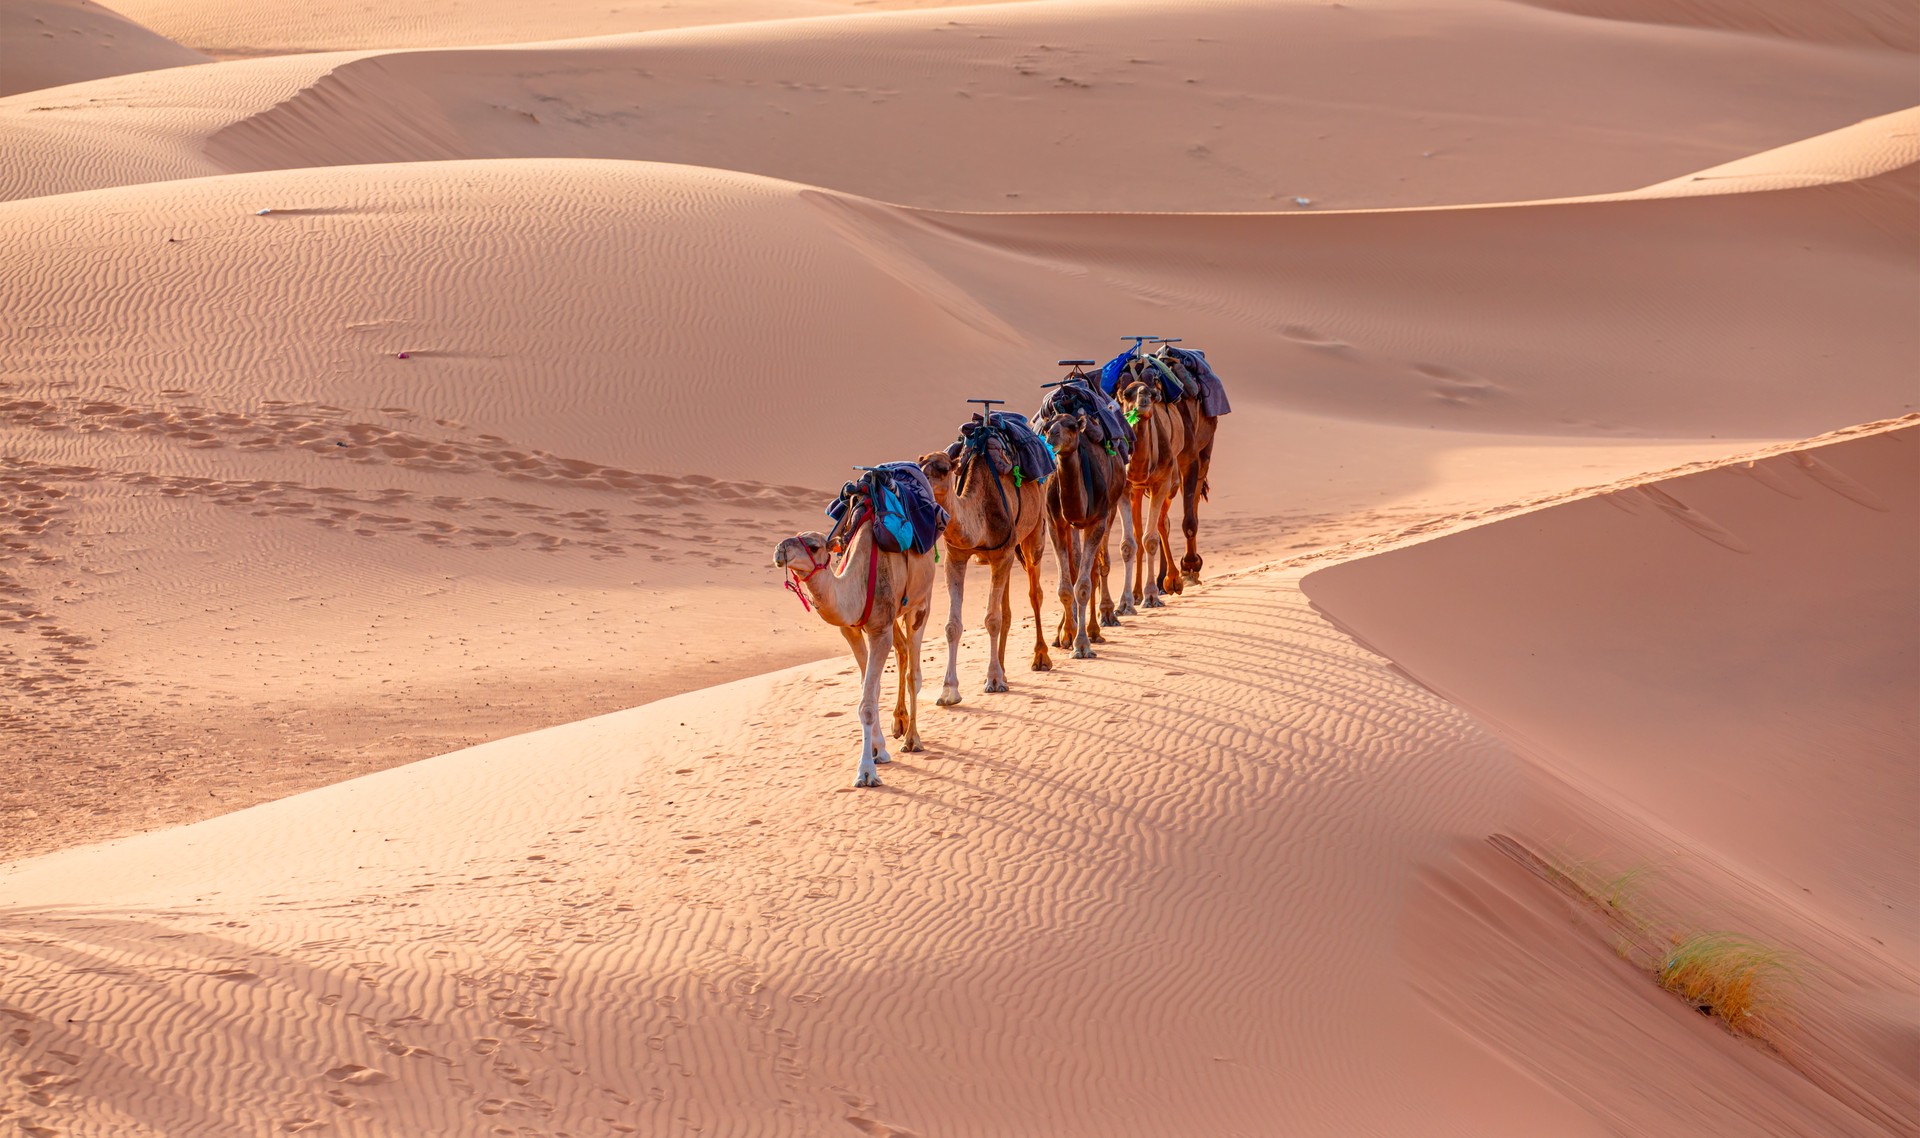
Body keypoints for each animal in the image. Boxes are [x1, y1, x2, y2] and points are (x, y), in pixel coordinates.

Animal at [771, 481, 936, 790]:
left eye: (814, 545)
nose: (778, 550)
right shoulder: (852, 630)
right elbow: (869, 688)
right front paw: (879, 750)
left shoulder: (879, 631)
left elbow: (867, 703)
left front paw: (867, 772)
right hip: (894, 615)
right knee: (902, 652)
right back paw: (899, 724)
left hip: (920, 604)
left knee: (914, 672)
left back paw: (912, 739)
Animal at [917, 420, 1052, 702]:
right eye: (918, 466)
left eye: (944, 469)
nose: (920, 486)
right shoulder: (956, 556)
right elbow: (953, 625)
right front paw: (949, 691)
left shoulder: (1002, 554)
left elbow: (992, 619)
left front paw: (992, 680)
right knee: (1007, 609)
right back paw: (1004, 670)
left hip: (1033, 535)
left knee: (1035, 593)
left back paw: (1041, 658)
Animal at [1044, 408, 1128, 656]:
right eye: (1047, 426)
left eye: (1072, 426)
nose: (1052, 435)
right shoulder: (1055, 524)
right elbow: (1065, 586)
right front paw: (1067, 635)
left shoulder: (1097, 521)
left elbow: (1083, 585)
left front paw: (1081, 644)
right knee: (1076, 567)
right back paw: (1063, 632)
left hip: (1111, 509)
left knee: (1095, 569)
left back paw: (1095, 629)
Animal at [1113, 372, 1182, 614]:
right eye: (1126, 394)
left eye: (1153, 394)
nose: (1143, 396)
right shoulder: (1124, 489)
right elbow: (1128, 544)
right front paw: (1124, 603)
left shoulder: (1161, 483)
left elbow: (1150, 539)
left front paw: (1151, 596)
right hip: (1137, 492)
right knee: (1138, 531)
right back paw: (1135, 593)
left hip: (1172, 483)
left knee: (1162, 523)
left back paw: (1173, 581)